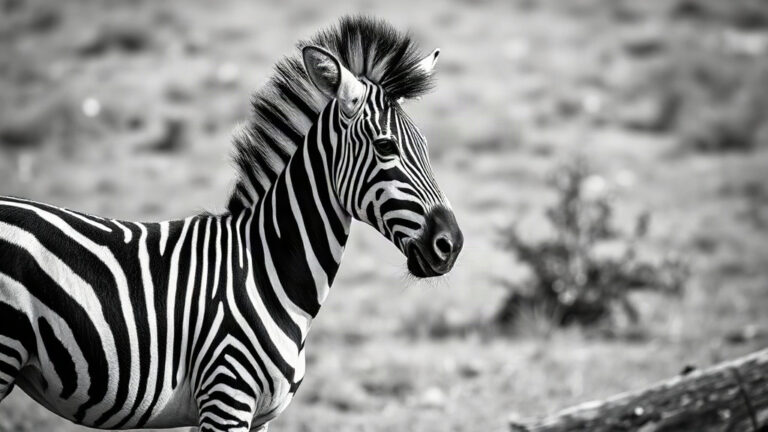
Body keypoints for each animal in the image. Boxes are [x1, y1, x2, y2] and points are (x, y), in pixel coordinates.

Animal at [0, 16, 463, 431]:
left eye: (426, 146)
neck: (265, 266)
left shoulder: (255, 415)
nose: (451, 244)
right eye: (386, 147)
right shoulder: (226, 397)